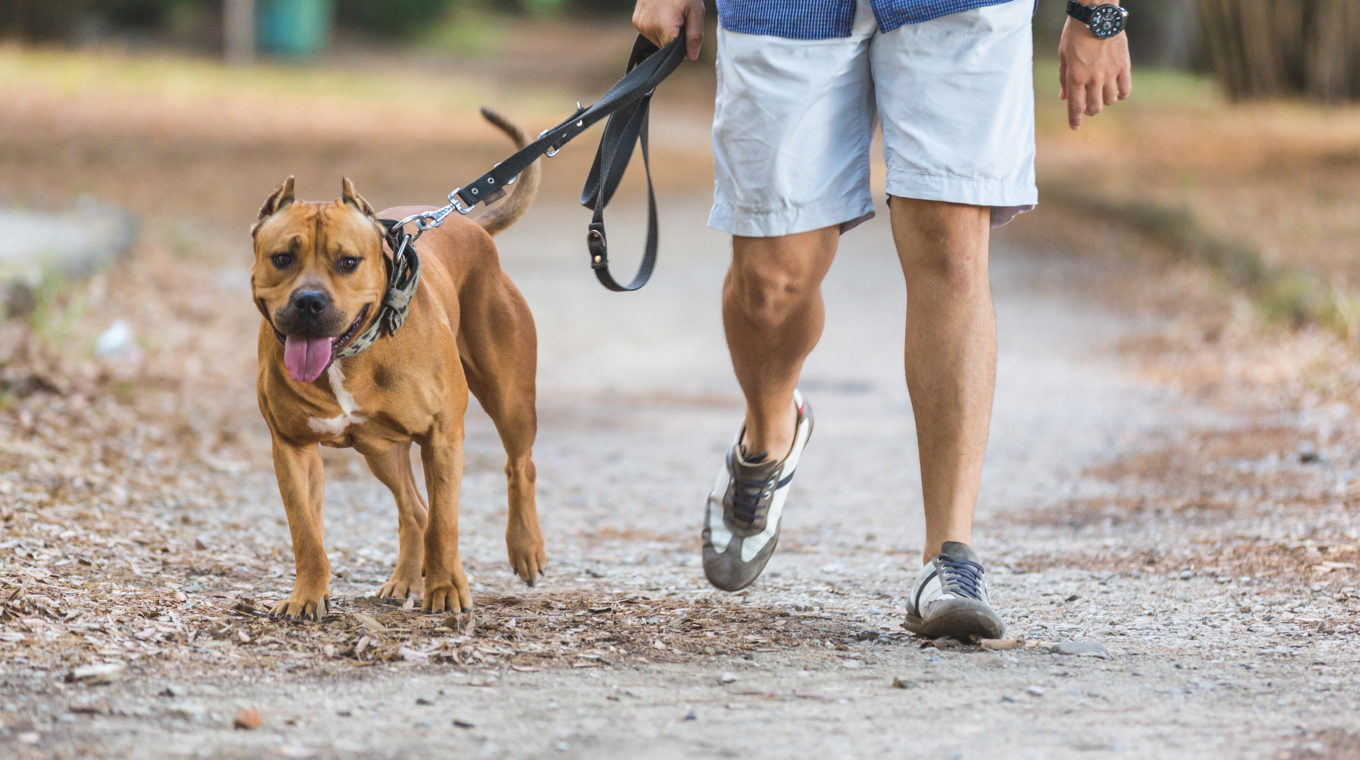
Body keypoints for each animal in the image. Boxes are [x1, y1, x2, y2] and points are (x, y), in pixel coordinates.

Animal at [247, 111, 544, 619]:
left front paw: (445, 590)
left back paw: (525, 548)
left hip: (510, 400)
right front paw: (307, 595)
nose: (309, 302)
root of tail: (473, 228)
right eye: (282, 258)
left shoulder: (442, 437)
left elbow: (446, 524)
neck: (350, 357)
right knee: (414, 510)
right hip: (381, 449)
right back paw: (405, 579)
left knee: (518, 465)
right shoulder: (292, 447)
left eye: (348, 262)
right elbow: (306, 532)